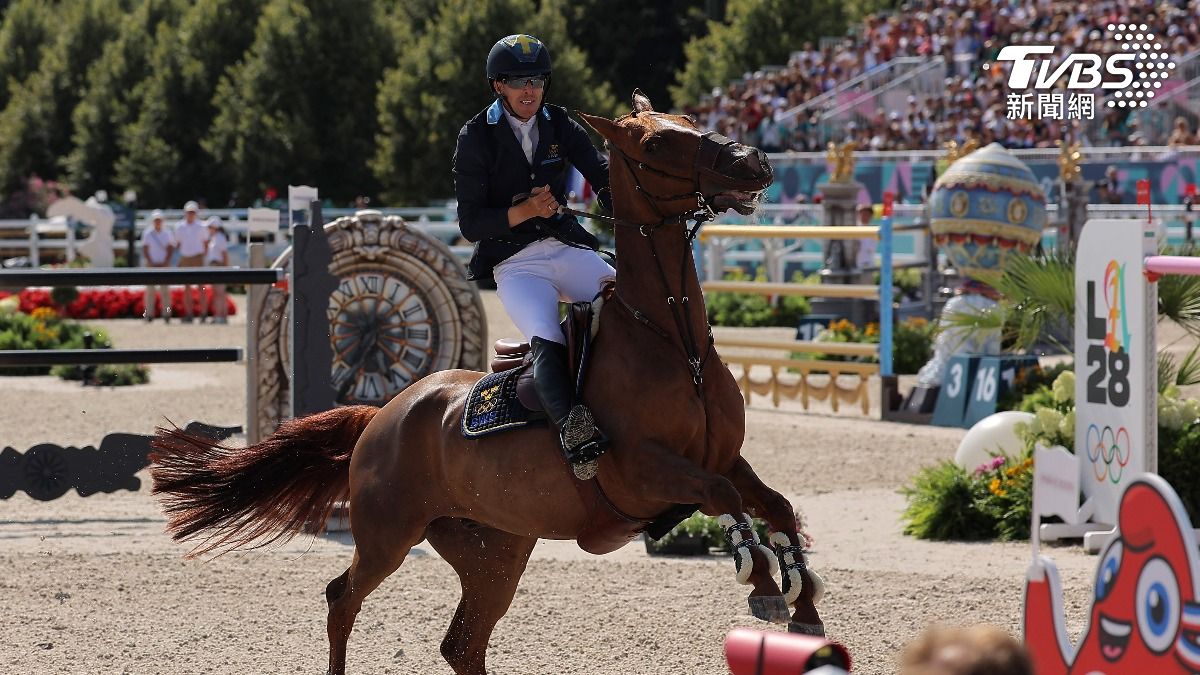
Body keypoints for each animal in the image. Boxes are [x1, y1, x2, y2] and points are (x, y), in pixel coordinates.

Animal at [149, 90, 824, 675]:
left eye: (691, 119)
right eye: (658, 143)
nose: (753, 161)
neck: (674, 342)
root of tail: (381, 415)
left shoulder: (723, 458)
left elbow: (773, 504)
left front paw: (804, 602)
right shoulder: (646, 472)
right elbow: (726, 498)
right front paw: (763, 584)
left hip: (495, 552)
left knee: (462, 644)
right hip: (389, 536)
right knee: (344, 600)